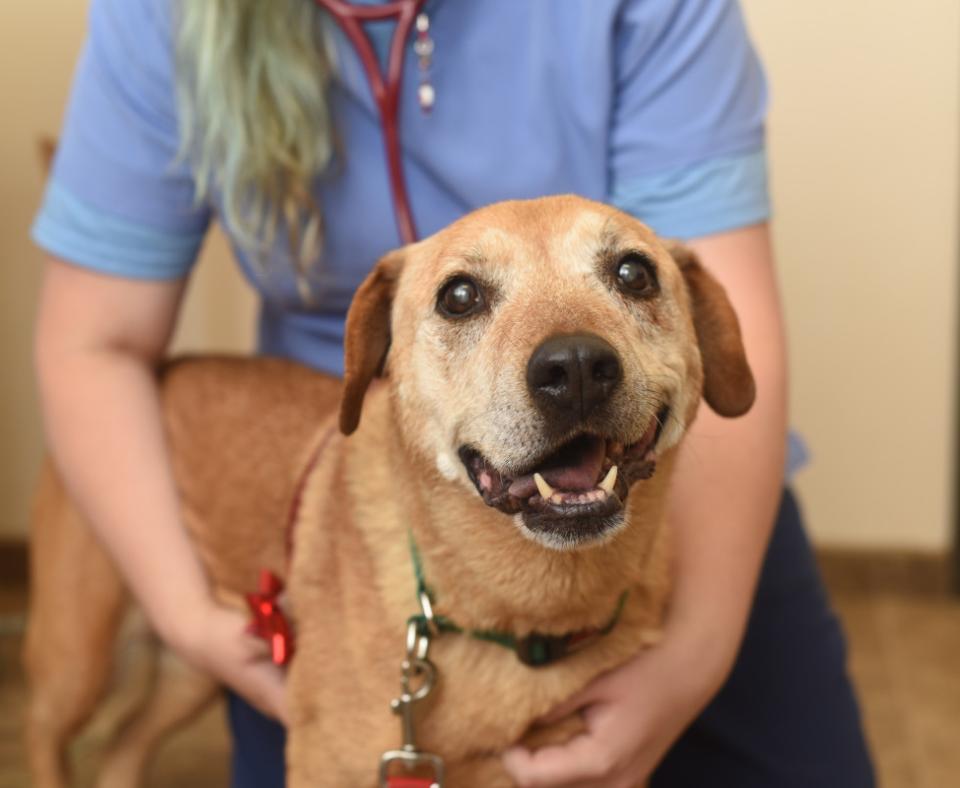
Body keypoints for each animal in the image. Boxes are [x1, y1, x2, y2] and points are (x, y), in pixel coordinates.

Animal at [24, 194, 756, 784]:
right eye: (459, 296)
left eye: (633, 273)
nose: (574, 367)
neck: (525, 610)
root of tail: (164, 365)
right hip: (79, 657)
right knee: (46, 734)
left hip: (192, 667)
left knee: (122, 747)